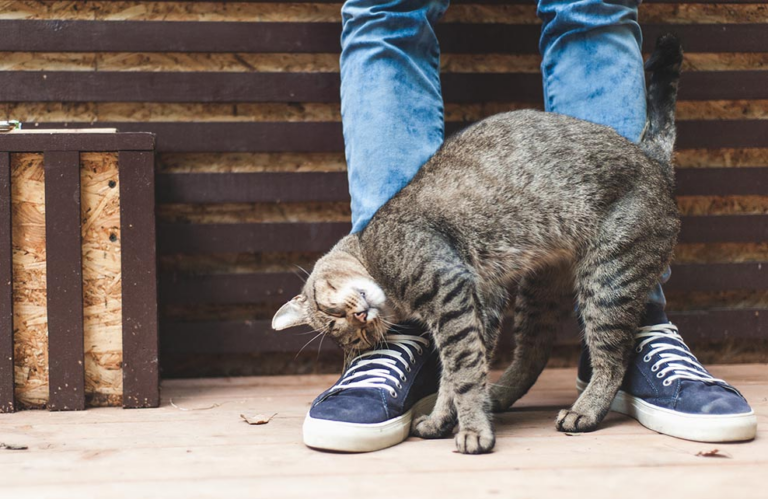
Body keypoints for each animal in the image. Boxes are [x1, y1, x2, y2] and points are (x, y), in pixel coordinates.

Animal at [272, 35, 680, 456]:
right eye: (357, 338)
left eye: (331, 315)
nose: (360, 318)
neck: (373, 253)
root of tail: (653, 161)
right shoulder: (476, 303)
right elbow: (456, 373)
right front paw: (443, 418)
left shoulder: (450, 293)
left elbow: (462, 371)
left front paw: (471, 429)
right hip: (538, 290)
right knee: (534, 352)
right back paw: (500, 395)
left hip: (609, 279)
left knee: (613, 359)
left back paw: (584, 410)